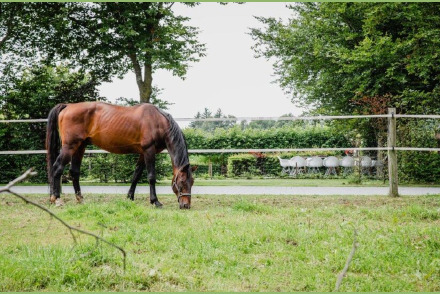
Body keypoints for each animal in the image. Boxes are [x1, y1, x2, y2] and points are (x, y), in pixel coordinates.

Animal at [46, 102, 196, 208]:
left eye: (192, 182)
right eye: (182, 182)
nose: (186, 205)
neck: (157, 121)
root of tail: (68, 106)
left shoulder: (143, 153)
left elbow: (136, 175)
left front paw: (130, 197)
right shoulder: (149, 151)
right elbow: (151, 176)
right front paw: (155, 201)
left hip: (80, 146)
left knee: (74, 172)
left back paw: (80, 199)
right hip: (69, 147)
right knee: (57, 168)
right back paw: (57, 199)